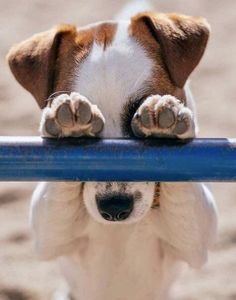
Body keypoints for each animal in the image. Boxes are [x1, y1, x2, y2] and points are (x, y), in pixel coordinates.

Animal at [6, 1, 218, 298]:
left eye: (138, 110)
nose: (115, 208)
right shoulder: (48, 236)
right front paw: (68, 127)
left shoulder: (196, 241)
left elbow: (184, 195)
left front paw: (164, 122)